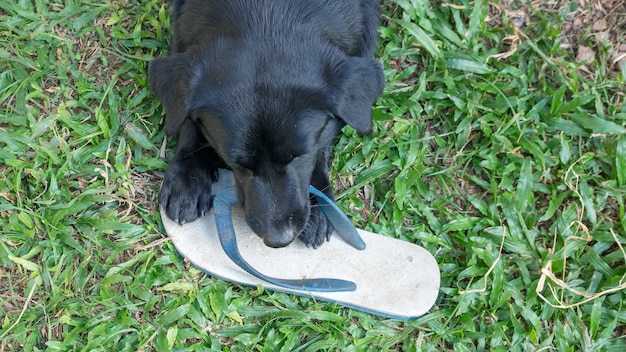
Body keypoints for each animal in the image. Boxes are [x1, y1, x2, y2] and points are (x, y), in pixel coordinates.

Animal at [151, 0, 382, 248]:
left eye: (299, 156)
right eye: (237, 163)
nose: (279, 240)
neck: (270, 13)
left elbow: (324, 141)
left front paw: (319, 200)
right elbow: (185, 117)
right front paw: (186, 176)